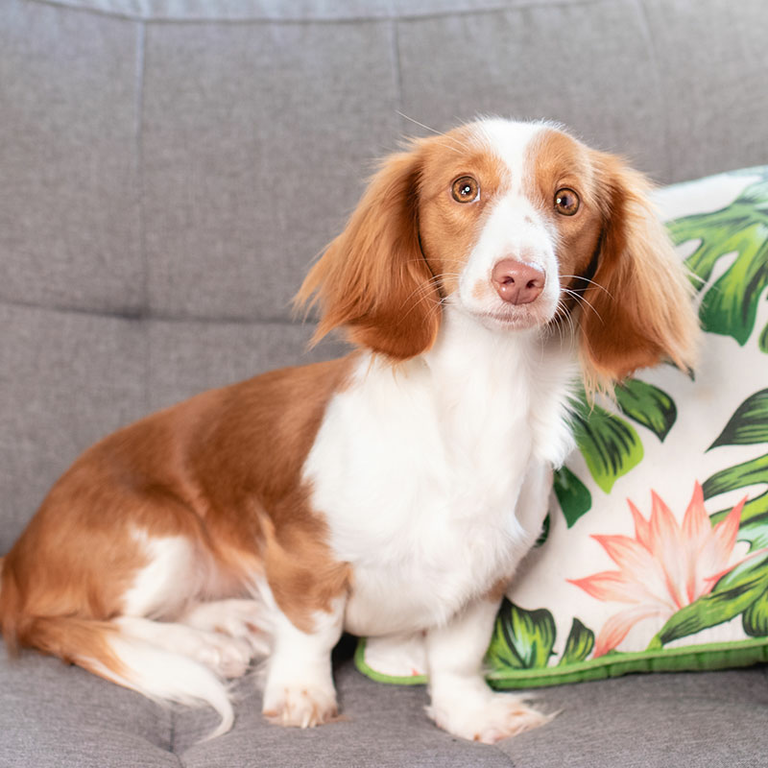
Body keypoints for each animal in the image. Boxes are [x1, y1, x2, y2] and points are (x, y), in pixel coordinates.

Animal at [0, 120, 696, 744]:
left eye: (567, 201)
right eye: (464, 189)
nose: (520, 278)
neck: (478, 401)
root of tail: (16, 560)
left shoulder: (488, 574)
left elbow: (458, 654)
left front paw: (468, 712)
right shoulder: (300, 553)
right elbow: (314, 631)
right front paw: (301, 694)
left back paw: (233, 621)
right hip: (162, 538)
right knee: (79, 621)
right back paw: (205, 645)